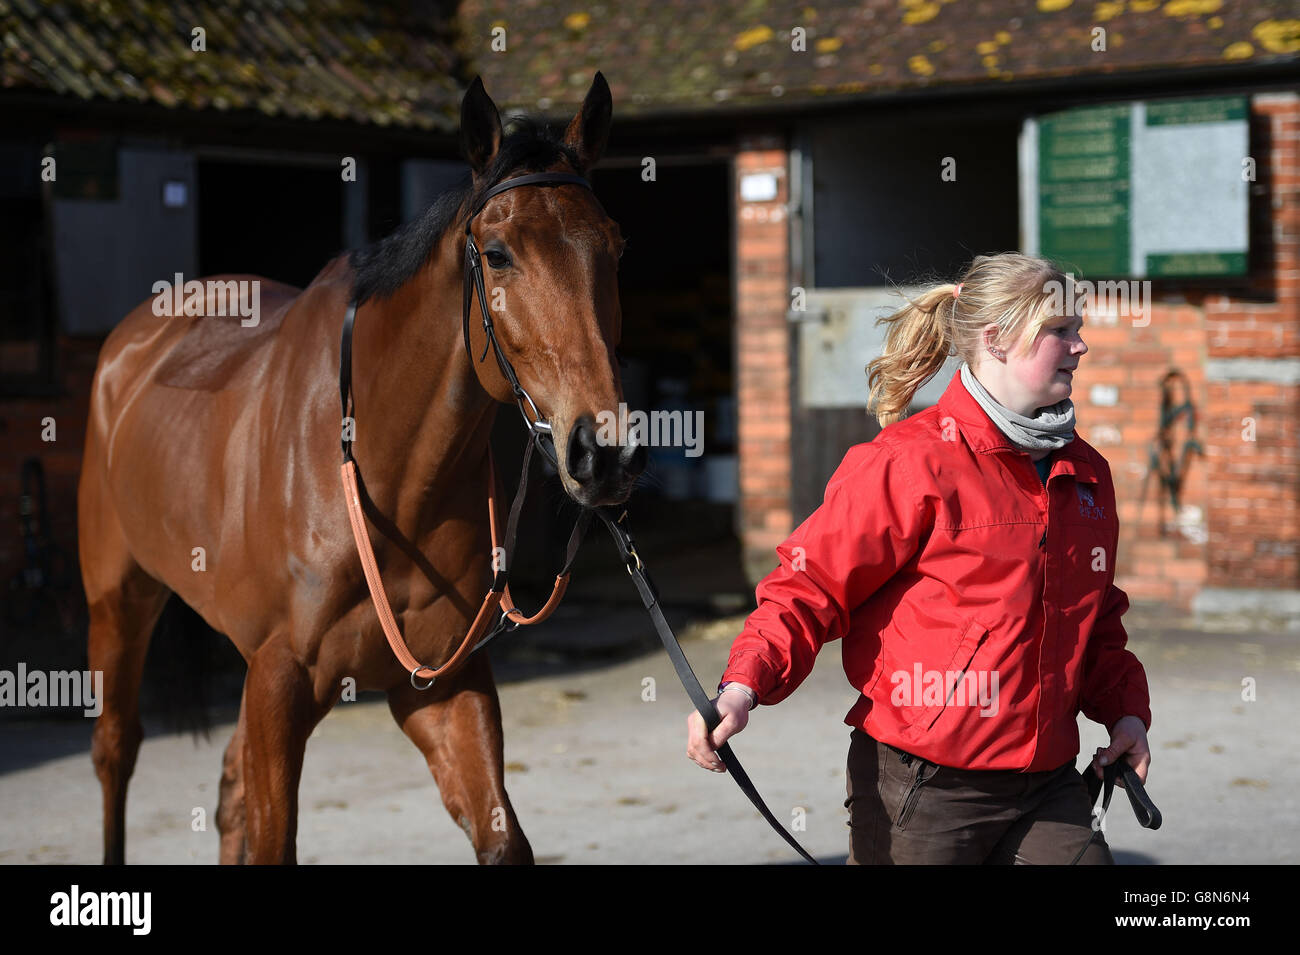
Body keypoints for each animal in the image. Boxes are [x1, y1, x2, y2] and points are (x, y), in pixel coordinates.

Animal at [78, 72, 642, 867]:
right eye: (497, 252)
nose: (604, 451)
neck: (388, 481)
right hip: (119, 601)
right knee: (115, 751)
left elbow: (502, 838)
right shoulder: (279, 680)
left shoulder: (442, 685)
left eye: (614, 248)